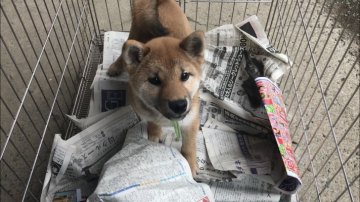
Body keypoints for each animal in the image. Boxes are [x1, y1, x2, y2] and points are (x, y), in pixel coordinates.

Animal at [107, 0, 205, 177]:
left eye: (185, 76)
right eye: (155, 80)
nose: (179, 105)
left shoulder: (191, 118)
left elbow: (189, 146)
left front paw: (191, 164)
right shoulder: (142, 109)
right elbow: (152, 121)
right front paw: (155, 134)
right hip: (133, 34)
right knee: (123, 53)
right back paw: (116, 66)